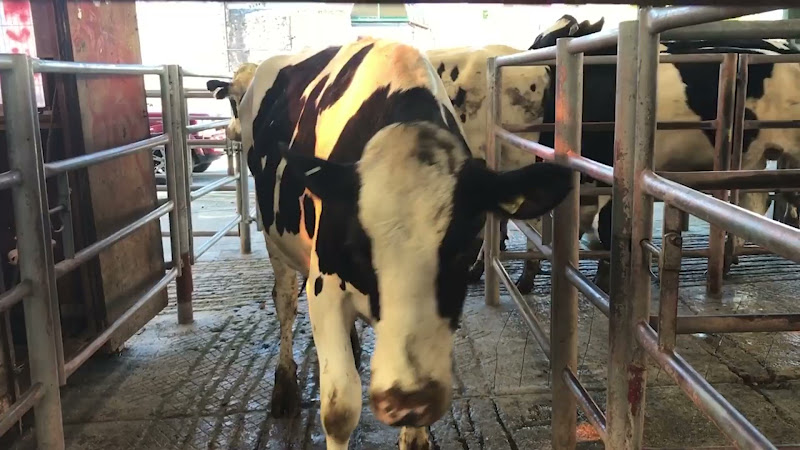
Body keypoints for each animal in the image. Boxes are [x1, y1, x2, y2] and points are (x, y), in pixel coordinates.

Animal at [225, 37, 571, 449]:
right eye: (356, 246)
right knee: (284, 303)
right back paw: (284, 386)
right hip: (273, 239)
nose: (409, 398)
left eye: (464, 246)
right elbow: (339, 411)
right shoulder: (323, 287)